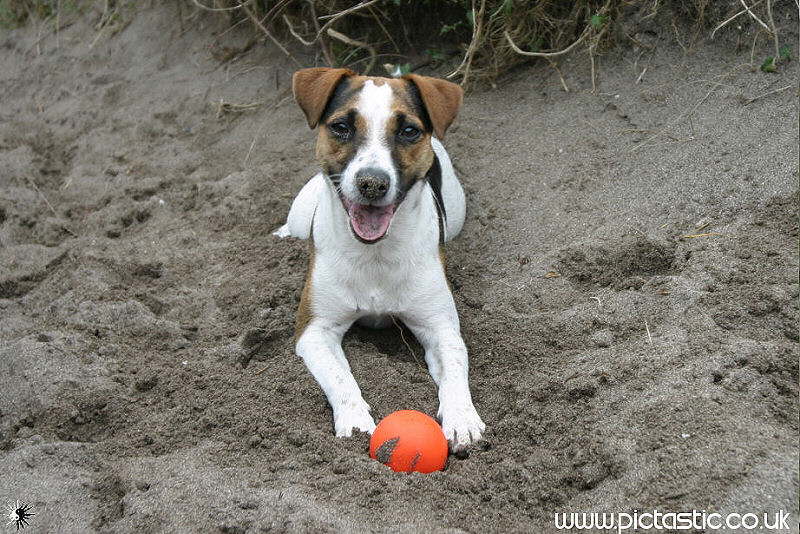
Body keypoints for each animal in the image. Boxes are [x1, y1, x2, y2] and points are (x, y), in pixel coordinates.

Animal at [276, 68, 484, 452]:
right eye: (341, 126)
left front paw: (462, 418)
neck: (375, 254)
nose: (372, 183)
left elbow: (455, 368)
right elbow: (340, 377)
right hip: (301, 212)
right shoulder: (314, 330)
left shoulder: (440, 326)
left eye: (409, 131)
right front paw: (355, 419)